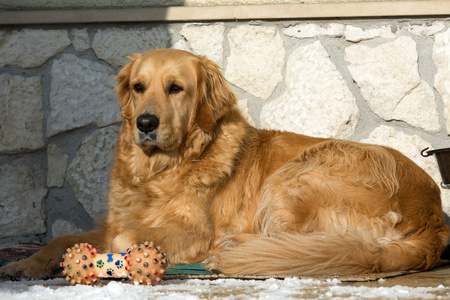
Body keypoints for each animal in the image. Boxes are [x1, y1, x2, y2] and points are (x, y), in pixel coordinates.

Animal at [1, 48, 448, 280]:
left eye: (176, 88)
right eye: (138, 87)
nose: (145, 123)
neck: (161, 170)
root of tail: (431, 217)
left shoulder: (190, 230)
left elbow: (125, 239)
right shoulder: (113, 219)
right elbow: (62, 239)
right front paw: (25, 263)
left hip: (300, 173)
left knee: (293, 243)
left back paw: (230, 250)